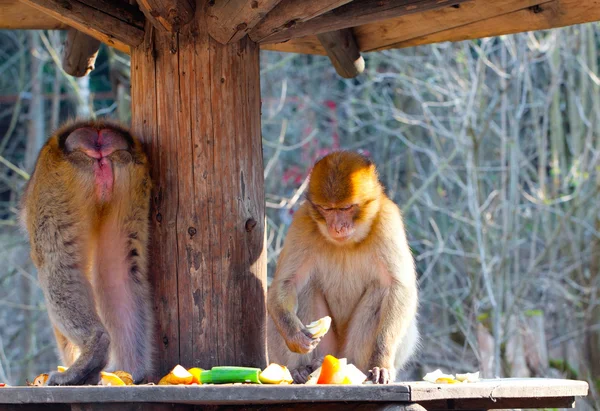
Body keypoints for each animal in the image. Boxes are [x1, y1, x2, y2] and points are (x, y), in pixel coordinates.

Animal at [21, 119, 155, 386]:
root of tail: (97, 132)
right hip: (131, 181)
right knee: (118, 272)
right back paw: (132, 372)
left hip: (57, 184)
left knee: (56, 266)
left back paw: (91, 352)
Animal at [268, 151, 418, 386]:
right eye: (327, 209)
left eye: (346, 208)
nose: (337, 227)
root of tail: (338, 357)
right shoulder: (302, 222)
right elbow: (286, 283)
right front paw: (294, 335)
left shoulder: (387, 221)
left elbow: (398, 287)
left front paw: (382, 361)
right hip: (327, 347)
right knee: (304, 288)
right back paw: (301, 369)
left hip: (346, 351)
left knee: (380, 291)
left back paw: (359, 369)